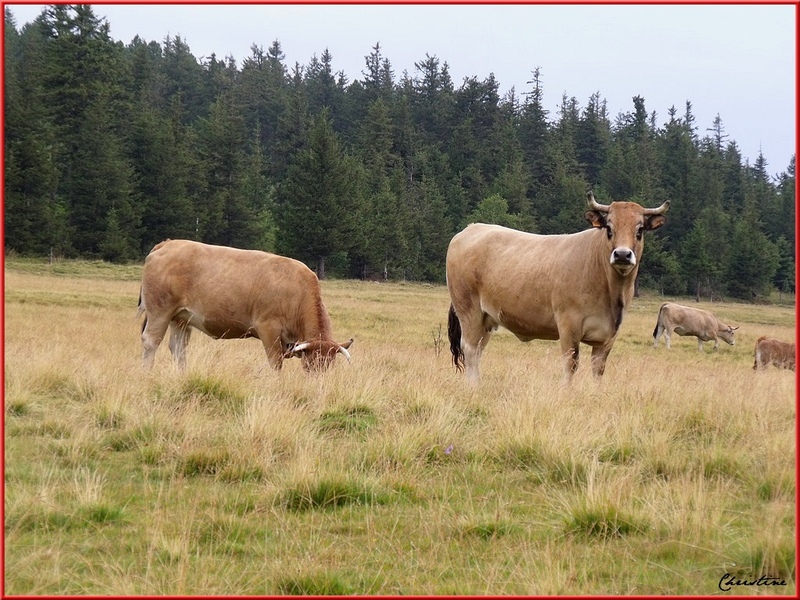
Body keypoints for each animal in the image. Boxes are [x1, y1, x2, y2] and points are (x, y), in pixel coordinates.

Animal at [138, 239, 354, 370]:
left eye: (330, 365)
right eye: (310, 364)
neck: (297, 291)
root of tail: (169, 243)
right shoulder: (268, 329)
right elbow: (275, 363)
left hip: (181, 318)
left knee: (178, 348)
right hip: (160, 311)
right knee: (151, 342)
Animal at [444, 190, 668, 382]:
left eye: (640, 229)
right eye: (609, 228)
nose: (622, 254)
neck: (612, 293)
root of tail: (472, 228)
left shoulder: (608, 336)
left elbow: (598, 370)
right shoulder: (569, 325)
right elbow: (571, 365)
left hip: (487, 319)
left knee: (479, 350)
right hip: (469, 310)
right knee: (470, 350)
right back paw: (474, 386)